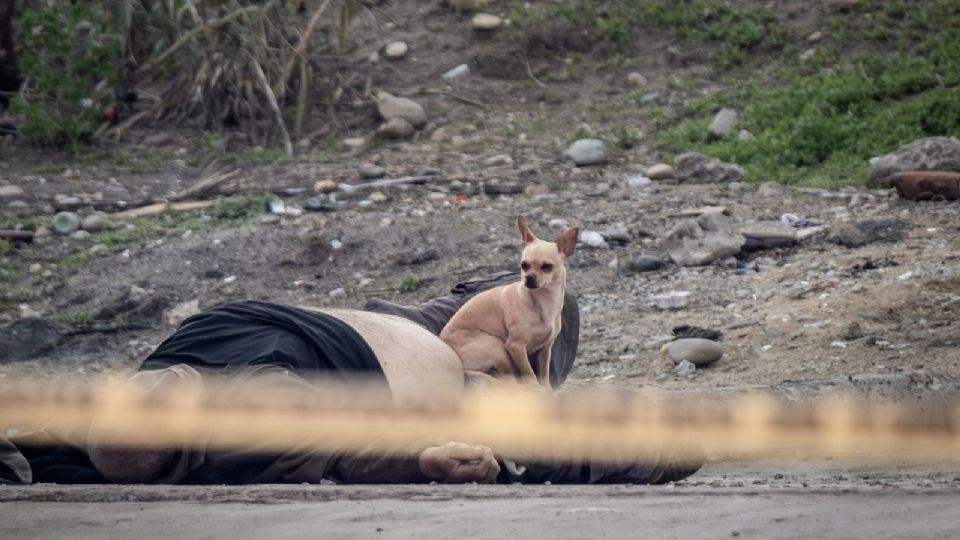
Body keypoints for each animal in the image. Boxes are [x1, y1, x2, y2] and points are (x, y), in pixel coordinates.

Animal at [440, 216, 576, 388]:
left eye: (547, 266)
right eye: (524, 265)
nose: (529, 278)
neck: (543, 303)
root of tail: (459, 367)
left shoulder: (545, 349)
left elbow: (543, 376)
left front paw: (547, 390)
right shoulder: (515, 346)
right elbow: (530, 375)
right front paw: (536, 389)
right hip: (497, 347)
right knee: (507, 380)